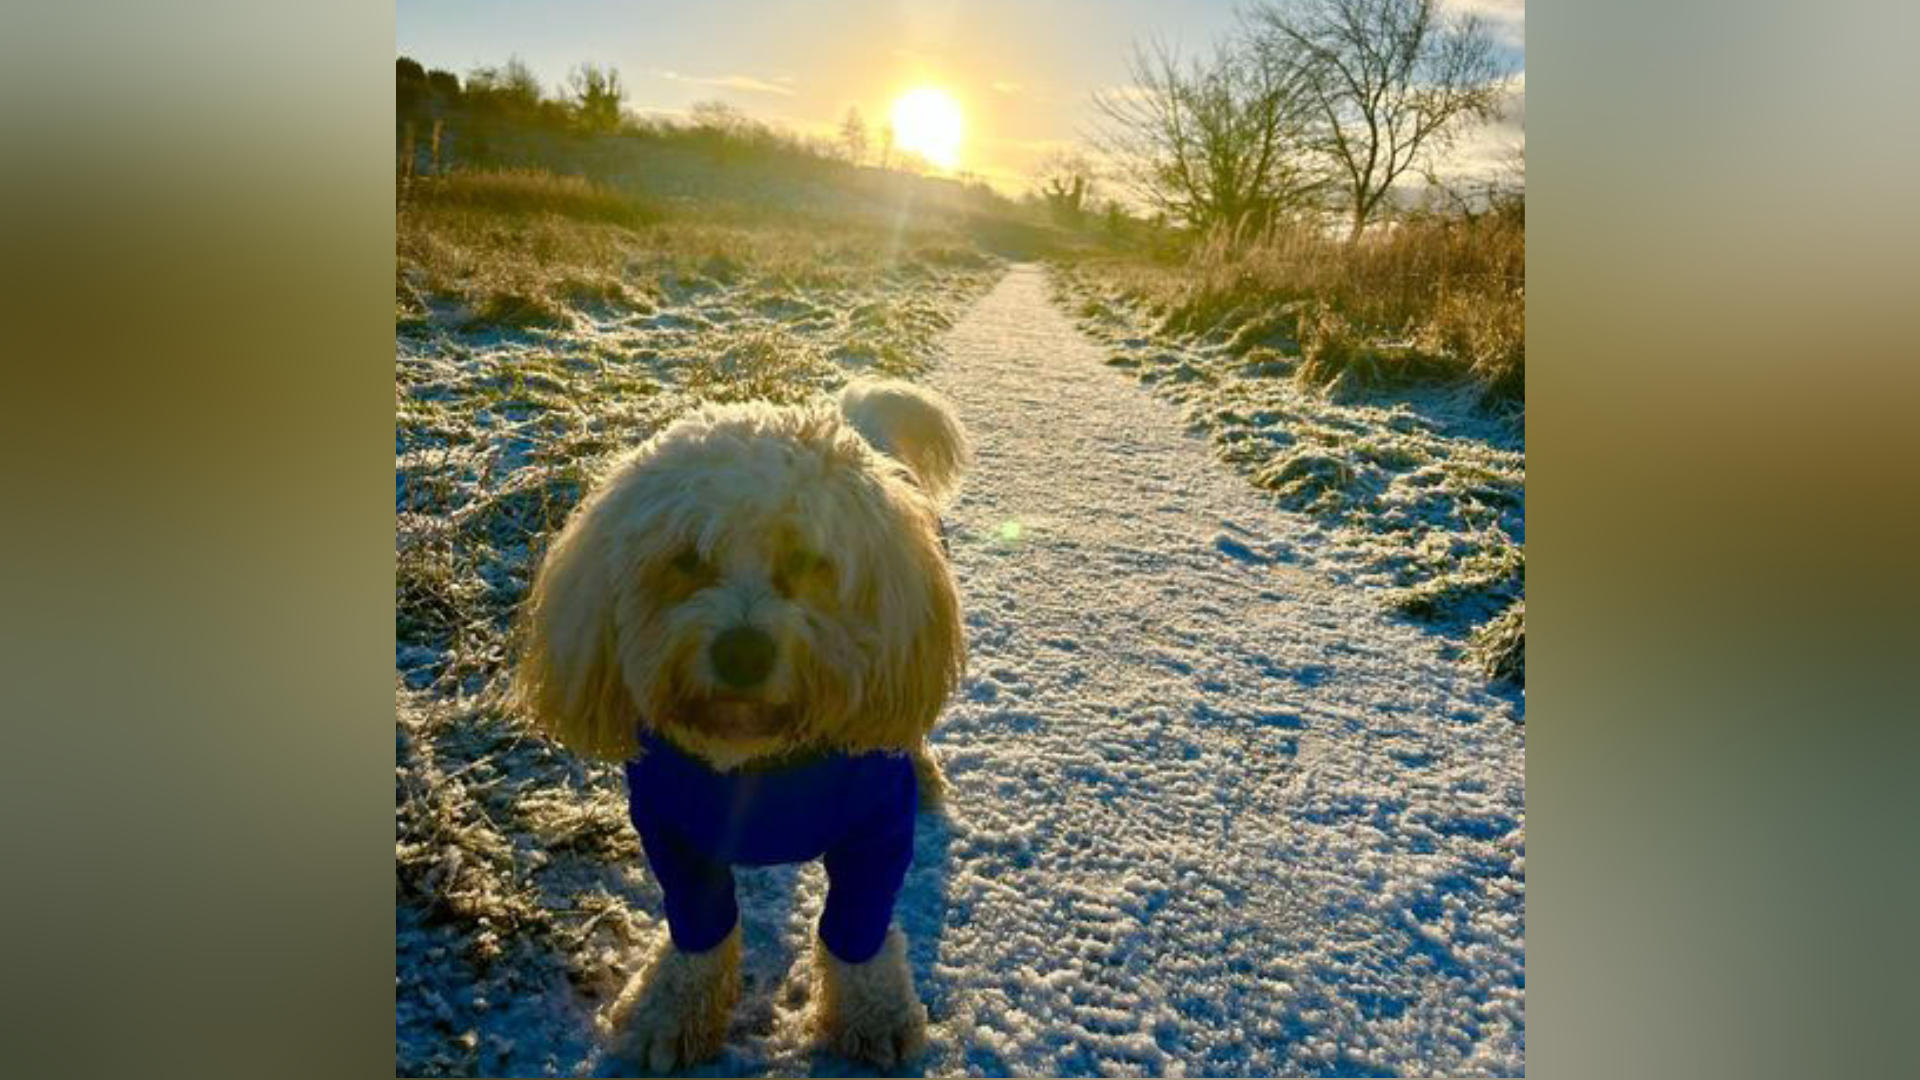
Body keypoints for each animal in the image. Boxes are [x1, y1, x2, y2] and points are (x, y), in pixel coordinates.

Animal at [510, 374, 967, 1060]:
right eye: (686, 560)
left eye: (809, 560)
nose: (743, 652)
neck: (761, 760)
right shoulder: (673, 835)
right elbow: (699, 932)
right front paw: (673, 1009)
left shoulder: (875, 834)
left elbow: (858, 932)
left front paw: (874, 1014)